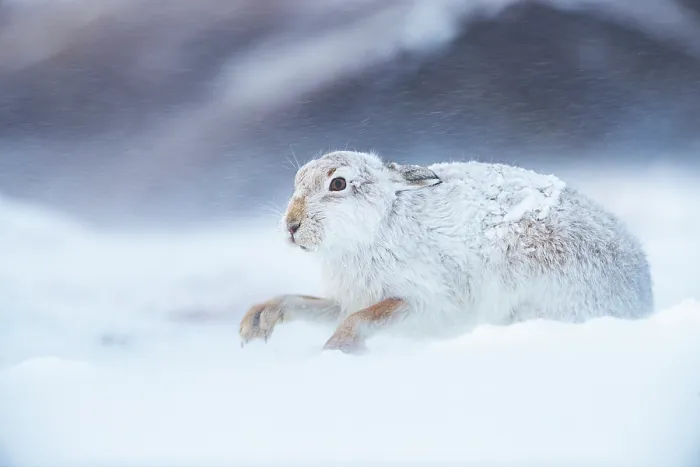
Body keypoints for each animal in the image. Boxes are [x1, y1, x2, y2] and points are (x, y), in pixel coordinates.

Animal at [239, 150, 654, 353]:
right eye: (297, 181)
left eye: (338, 184)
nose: (291, 226)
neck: (380, 222)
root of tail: (642, 298)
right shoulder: (348, 298)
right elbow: (313, 305)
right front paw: (257, 322)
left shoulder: (424, 299)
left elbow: (367, 317)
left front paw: (336, 350)